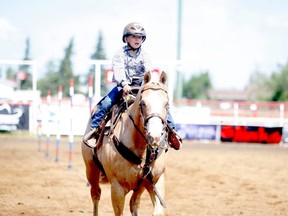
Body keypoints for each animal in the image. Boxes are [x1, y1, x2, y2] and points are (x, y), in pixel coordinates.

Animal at [81, 71, 171, 216]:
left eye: (166, 104)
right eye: (142, 103)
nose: (155, 136)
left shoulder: (156, 181)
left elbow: (157, 211)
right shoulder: (117, 188)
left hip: (139, 187)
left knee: (134, 203)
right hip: (91, 172)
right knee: (96, 195)